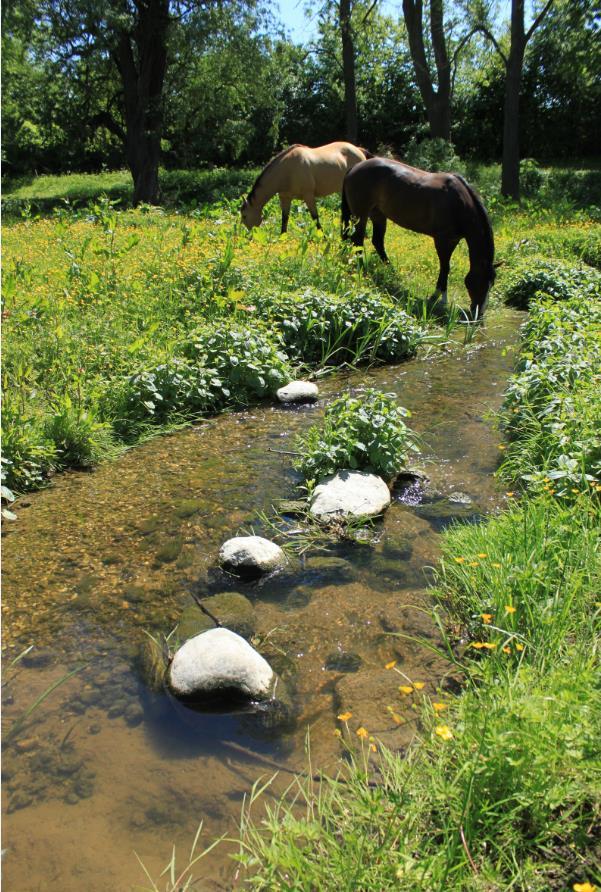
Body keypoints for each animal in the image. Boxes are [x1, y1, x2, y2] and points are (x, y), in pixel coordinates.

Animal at [239, 142, 370, 233]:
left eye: (244, 216)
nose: (250, 235)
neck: (287, 171)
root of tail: (358, 150)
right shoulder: (285, 198)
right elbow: (284, 218)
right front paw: (282, 236)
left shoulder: (308, 196)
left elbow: (315, 217)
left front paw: (322, 236)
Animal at [342, 158, 496, 320]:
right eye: (482, 282)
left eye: (492, 283)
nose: (479, 313)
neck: (459, 204)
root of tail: (355, 167)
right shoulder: (442, 240)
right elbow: (445, 267)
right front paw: (439, 298)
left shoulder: (453, 240)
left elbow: (446, 267)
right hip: (361, 214)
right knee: (358, 240)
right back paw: (362, 268)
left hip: (378, 214)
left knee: (377, 242)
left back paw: (391, 270)